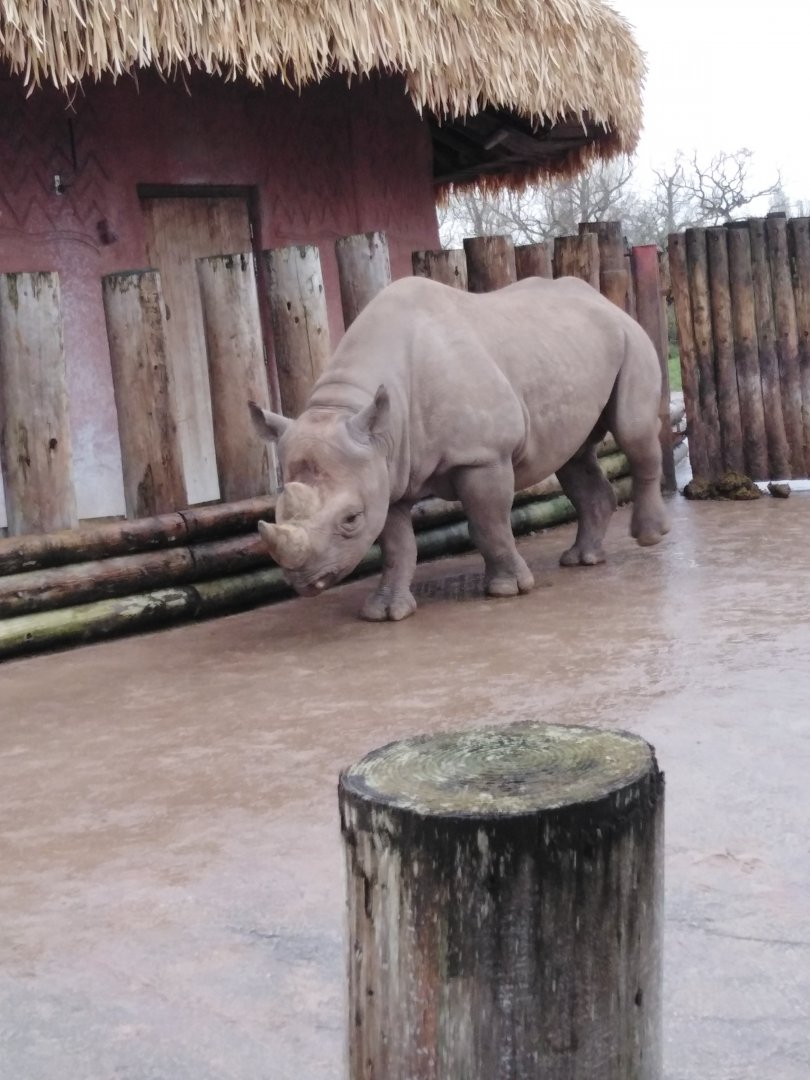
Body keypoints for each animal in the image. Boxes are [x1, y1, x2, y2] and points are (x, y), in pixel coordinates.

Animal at [249, 275, 670, 621]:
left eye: (351, 519)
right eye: (277, 510)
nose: (305, 582)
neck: (351, 408)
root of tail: (604, 300)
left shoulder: (483, 456)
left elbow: (488, 523)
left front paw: (507, 590)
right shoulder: (384, 471)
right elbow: (396, 544)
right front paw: (385, 612)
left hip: (631, 338)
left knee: (633, 431)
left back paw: (648, 537)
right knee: (574, 457)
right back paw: (582, 560)